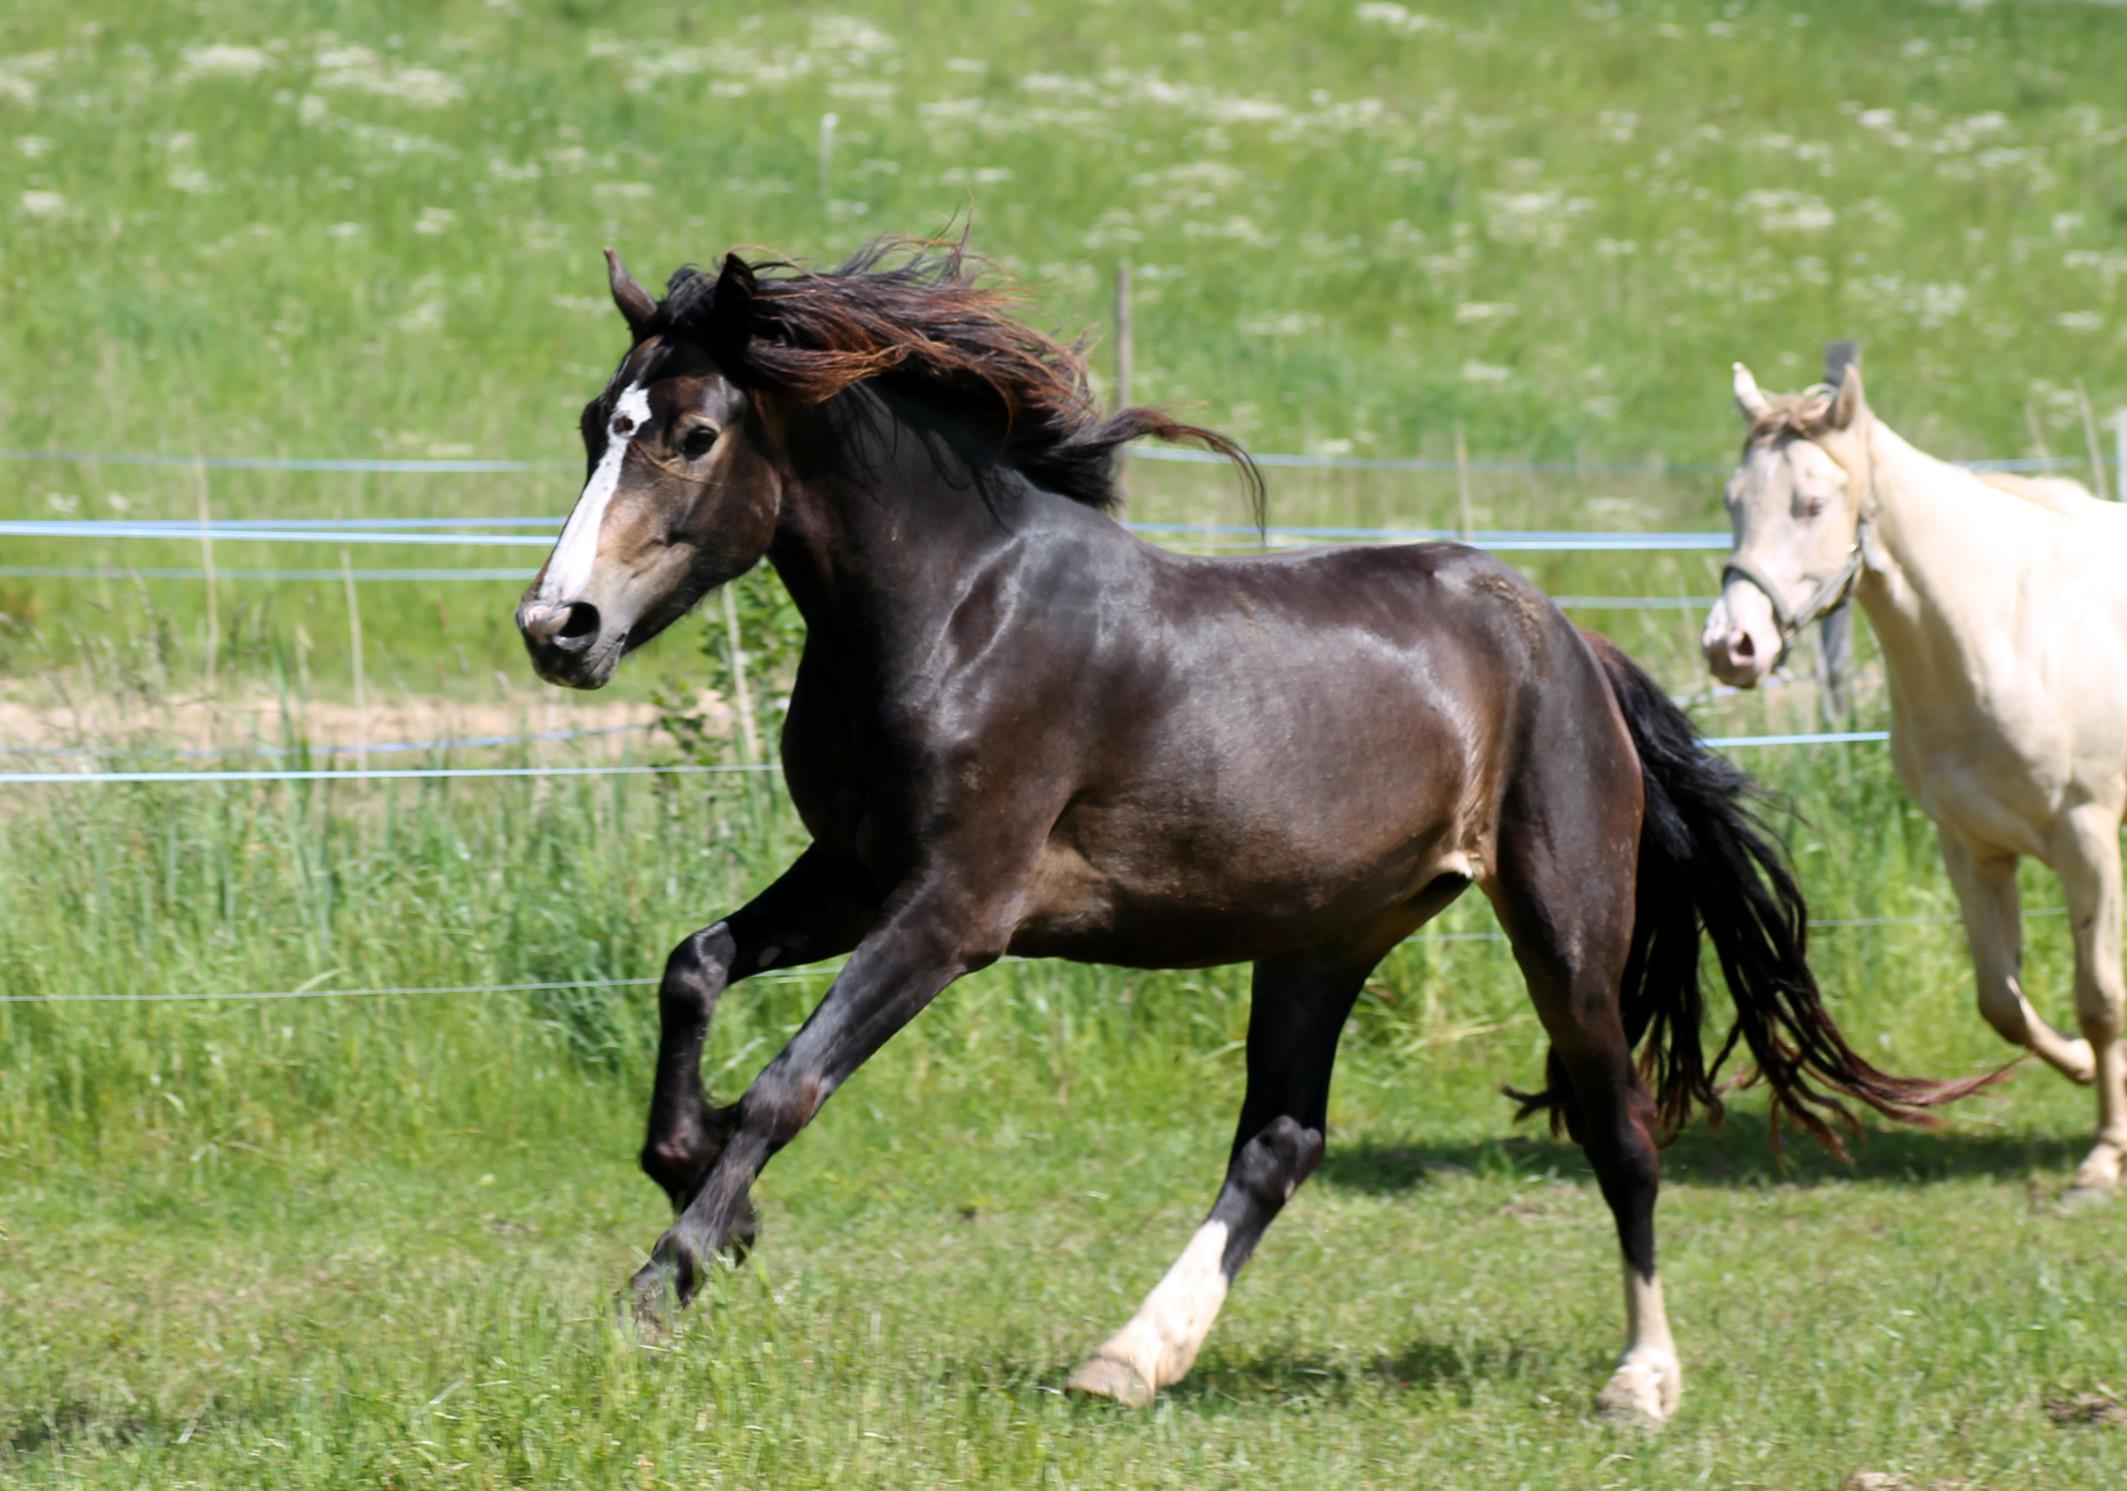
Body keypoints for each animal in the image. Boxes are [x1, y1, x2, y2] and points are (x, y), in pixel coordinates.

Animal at [514, 238, 1990, 1420]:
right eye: (596, 419)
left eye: (691, 436)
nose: (556, 627)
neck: (958, 608)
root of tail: (1571, 643)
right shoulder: (856, 872)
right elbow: (694, 964)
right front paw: (703, 1187)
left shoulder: (951, 911)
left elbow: (789, 1080)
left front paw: (665, 1278)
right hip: (1324, 934)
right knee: (1279, 1143)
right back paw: (1125, 1359)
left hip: (1562, 924)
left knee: (1617, 1124)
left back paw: (1640, 1380)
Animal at [1701, 363, 2127, 1199]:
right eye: (1733, 500)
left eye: (1810, 504)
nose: (1730, 646)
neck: (2007, 629)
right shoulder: (1970, 845)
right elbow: (1999, 1000)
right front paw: (2077, 1066)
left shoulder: (2087, 837)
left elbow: (2099, 998)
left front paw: (2103, 1155)